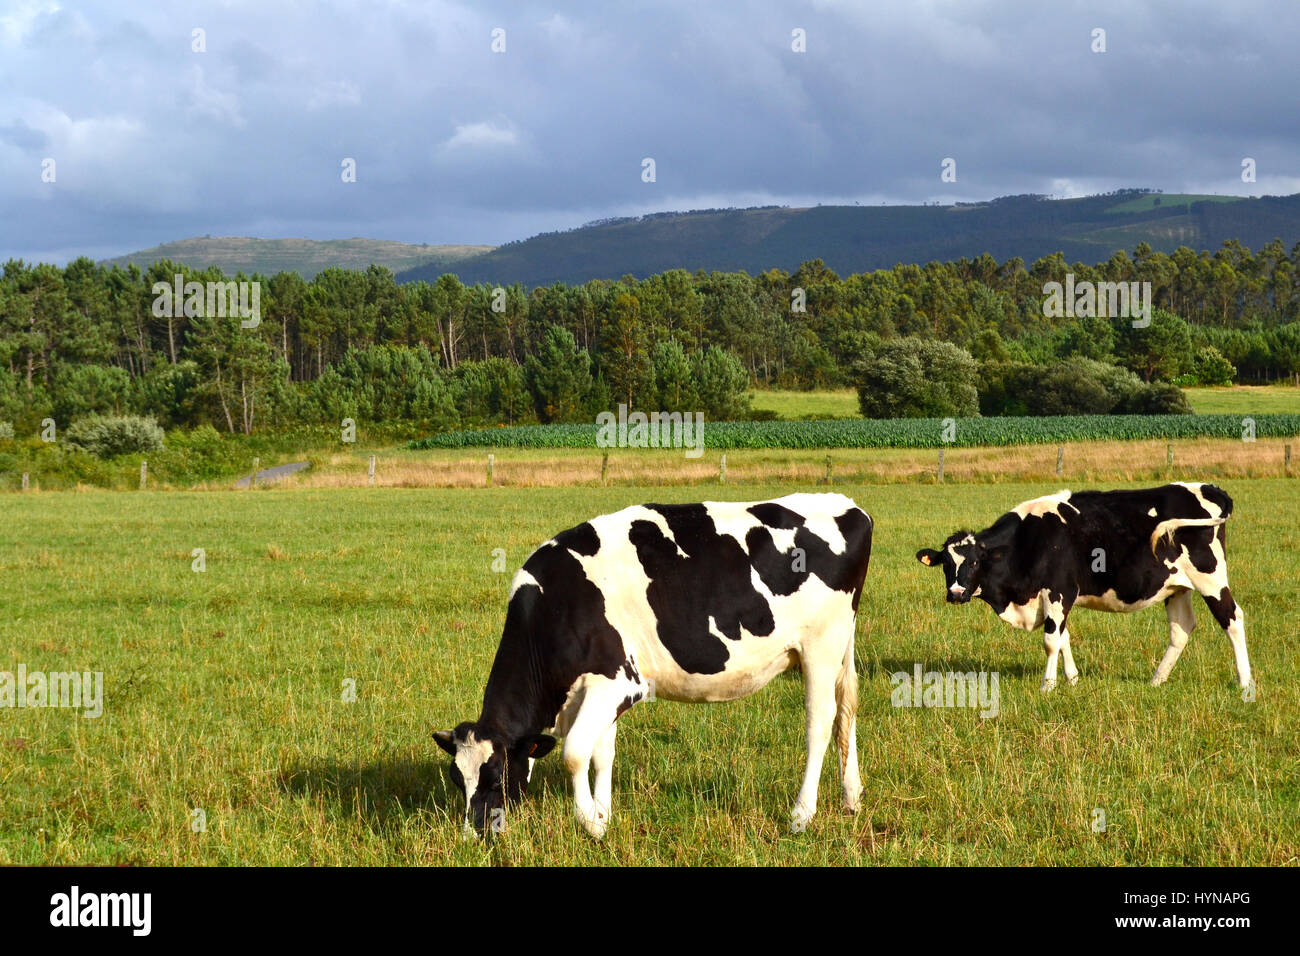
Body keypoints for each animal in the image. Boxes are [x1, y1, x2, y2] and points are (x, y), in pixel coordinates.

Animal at [434, 492, 873, 839]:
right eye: (457, 779)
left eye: (496, 775)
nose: (473, 835)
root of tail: (849, 506)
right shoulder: (599, 690)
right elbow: (601, 753)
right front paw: (603, 814)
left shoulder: (618, 681)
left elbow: (575, 752)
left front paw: (590, 823)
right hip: (838, 648)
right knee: (845, 712)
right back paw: (851, 799)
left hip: (820, 646)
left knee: (820, 722)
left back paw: (802, 814)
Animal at [915, 483, 1252, 692]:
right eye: (945, 564)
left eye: (974, 563)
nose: (956, 594)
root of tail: (1206, 487)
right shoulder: (1056, 599)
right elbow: (1063, 637)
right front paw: (1073, 679)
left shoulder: (1058, 591)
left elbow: (1051, 641)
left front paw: (1048, 685)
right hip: (1177, 586)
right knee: (1182, 628)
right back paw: (1157, 680)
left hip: (1211, 579)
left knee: (1232, 619)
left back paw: (1245, 683)